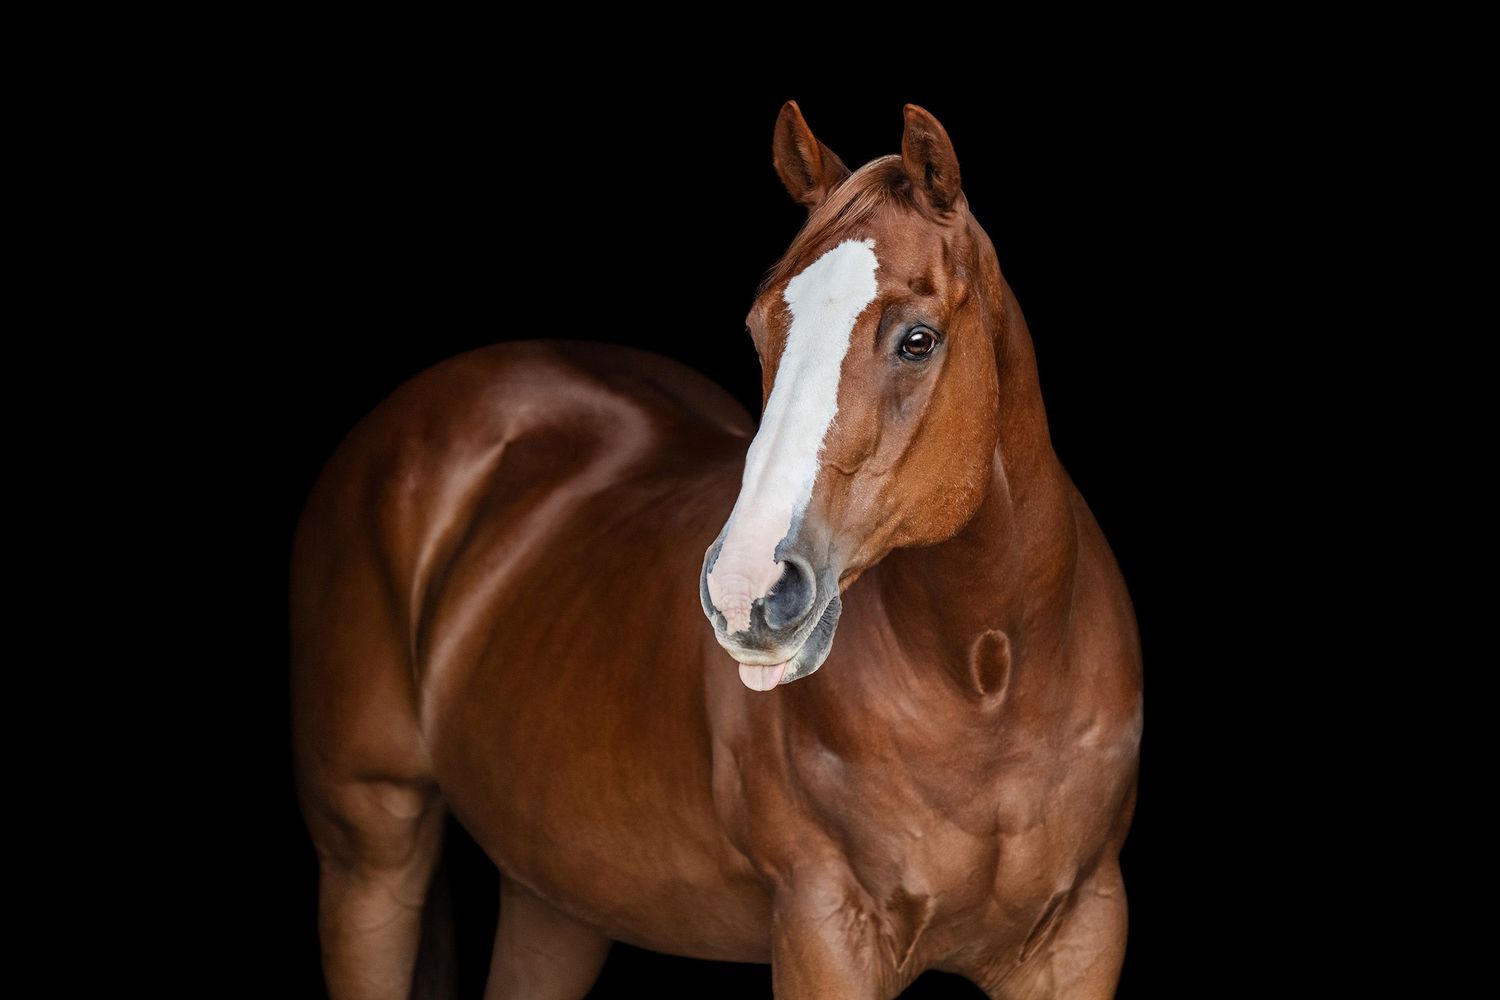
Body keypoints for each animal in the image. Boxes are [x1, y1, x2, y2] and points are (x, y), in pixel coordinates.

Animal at [291, 101, 1142, 999]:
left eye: (918, 340)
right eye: (762, 327)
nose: (747, 593)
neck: (991, 683)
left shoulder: (1081, 935)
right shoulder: (824, 932)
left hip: (555, 898)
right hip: (370, 854)